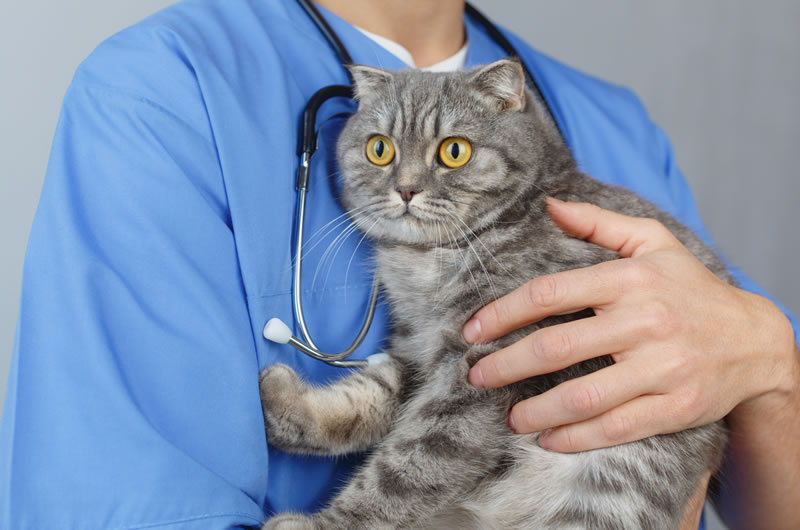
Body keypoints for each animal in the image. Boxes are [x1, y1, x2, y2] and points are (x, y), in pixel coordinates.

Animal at [260, 59, 728, 524]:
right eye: (380, 149)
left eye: (454, 151)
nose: (406, 189)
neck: (426, 261)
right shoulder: (418, 351)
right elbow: (367, 397)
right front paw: (284, 402)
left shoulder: (482, 372)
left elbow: (408, 470)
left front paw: (325, 524)